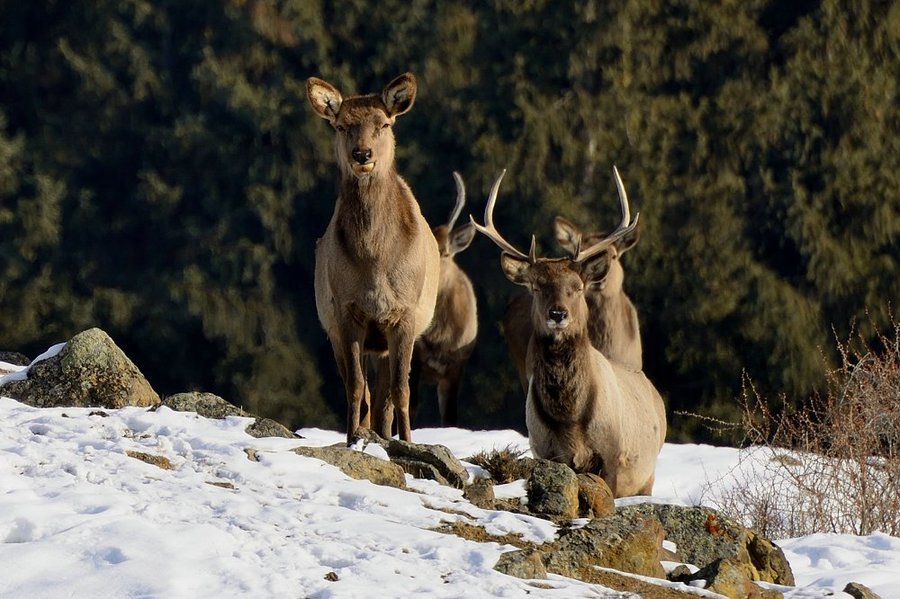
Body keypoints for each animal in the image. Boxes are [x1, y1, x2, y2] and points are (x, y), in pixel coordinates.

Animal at [306, 72, 440, 442]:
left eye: (383, 123)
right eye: (341, 126)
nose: (362, 153)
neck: (375, 264)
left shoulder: (406, 313)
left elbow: (400, 392)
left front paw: (408, 442)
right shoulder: (346, 310)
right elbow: (355, 388)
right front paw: (352, 438)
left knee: (384, 400)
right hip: (336, 330)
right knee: (366, 393)